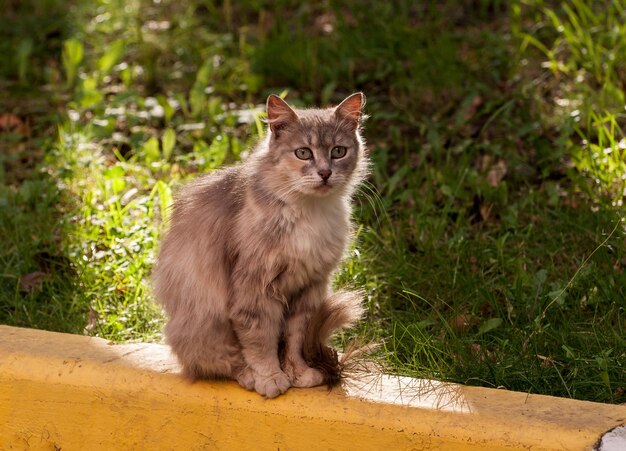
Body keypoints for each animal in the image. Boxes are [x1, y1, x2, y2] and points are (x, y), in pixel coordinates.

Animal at [152, 92, 366, 400]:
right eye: (303, 153)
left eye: (338, 151)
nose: (325, 173)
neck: (308, 213)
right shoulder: (255, 290)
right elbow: (260, 342)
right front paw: (271, 378)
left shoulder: (308, 290)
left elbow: (294, 341)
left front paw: (299, 374)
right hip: (204, 323)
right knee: (224, 362)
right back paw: (250, 377)